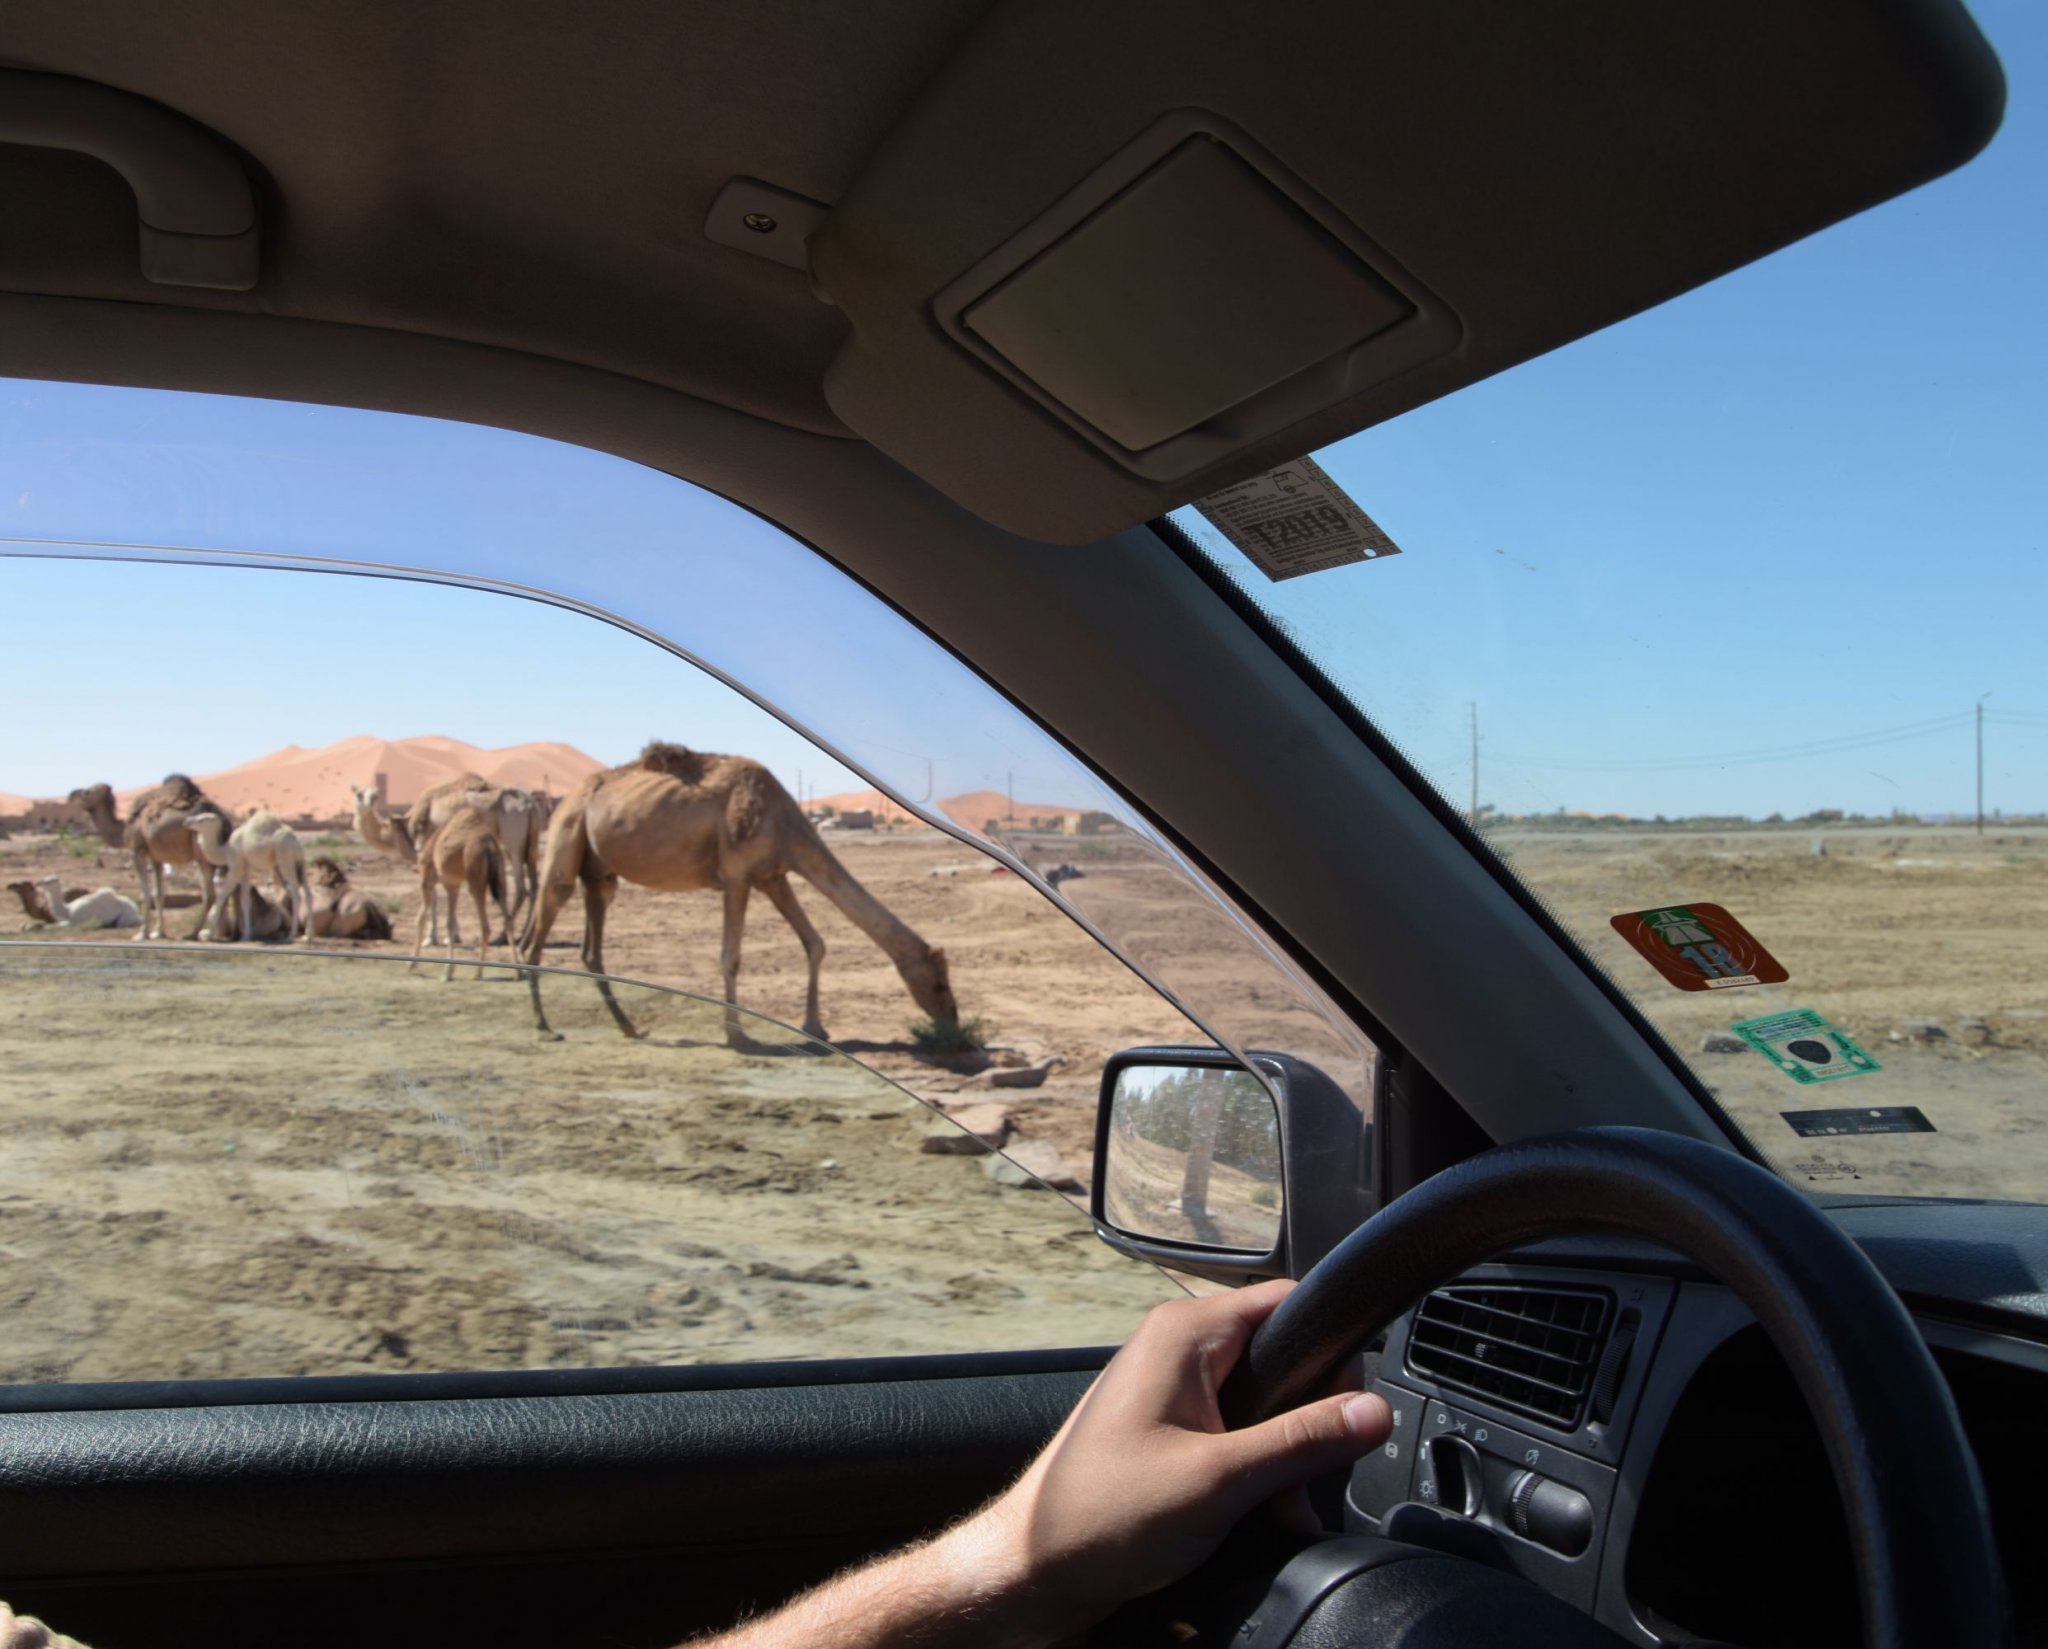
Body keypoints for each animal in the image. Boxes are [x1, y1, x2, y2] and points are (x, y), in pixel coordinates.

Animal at [187, 809, 312, 943]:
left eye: (202, 819)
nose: (188, 821)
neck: (225, 851)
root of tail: (296, 841)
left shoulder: (236, 866)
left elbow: (221, 896)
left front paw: (210, 935)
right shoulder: (246, 868)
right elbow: (245, 900)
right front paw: (246, 935)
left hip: (285, 859)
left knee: (295, 893)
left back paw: (290, 936)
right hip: (299, 863)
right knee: (307, 892)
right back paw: (309, 936)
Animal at [410, 807, 514, 981]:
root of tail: (490, 847)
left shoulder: (432, 881)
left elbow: (426, 920)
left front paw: (444, 972)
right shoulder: (453, 886)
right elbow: (450, 923)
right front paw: (448, 970)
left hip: (475, 880)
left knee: (485, 926)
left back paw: (478, 973)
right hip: (500, 878)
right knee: (508, 918)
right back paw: (520, 971)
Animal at [523, 742, 958, 1046]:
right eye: (939, 983)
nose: (953, 1026)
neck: (785, 821)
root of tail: (574, 793)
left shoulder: (772, 875)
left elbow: (814, 942)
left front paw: (816, 1027)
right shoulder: (737, 876)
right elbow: (730, 956)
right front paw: (737, 1034)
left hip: (600, 873)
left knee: (591, 948)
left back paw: (631, 1028)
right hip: (567, 832)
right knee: (544, 919)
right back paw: (545, 1027)